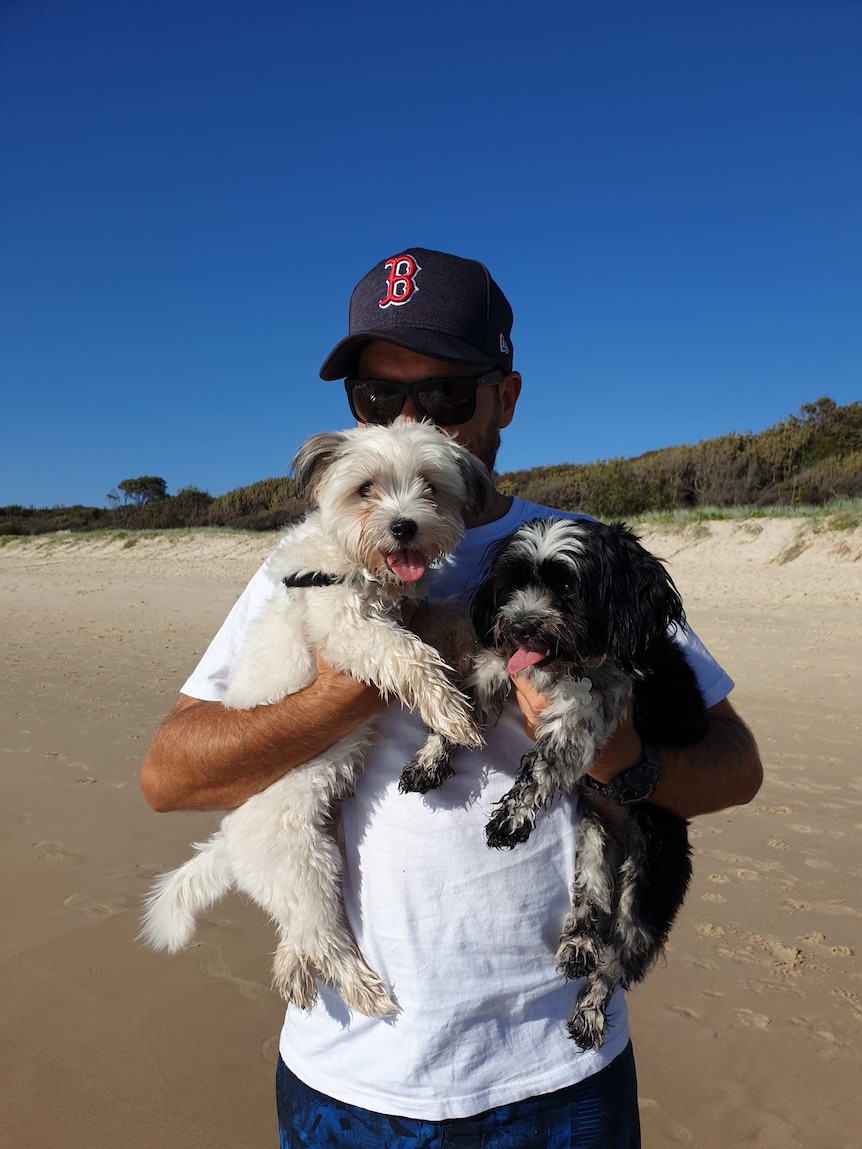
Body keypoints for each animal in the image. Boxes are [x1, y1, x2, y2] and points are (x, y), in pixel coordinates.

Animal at [140, 422, 491, 1015]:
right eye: (365, 488)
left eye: (430, 486)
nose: (405, 526)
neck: (358, 565)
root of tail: (228, 841)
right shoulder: (349, 635)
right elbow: (408, 653)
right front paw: (449, 710)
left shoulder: (415, 610)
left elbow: (449, 617)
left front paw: (466, 661)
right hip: (305, 862)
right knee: (321, 937)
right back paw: (362, 989)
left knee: (298, 933)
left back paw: (293, 973)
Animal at [402, 519, 712, 1052]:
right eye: (513, 583)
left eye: (568, 586)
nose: (523, 625)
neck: (569, 661)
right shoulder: (497, 667)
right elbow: (458, 710)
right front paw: (430, 759)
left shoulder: (590, 707)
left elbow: (544, 763)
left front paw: (511, 816)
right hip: (593, 840)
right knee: (592, 900)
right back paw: (578, 945)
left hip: (648, 883)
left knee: (617, 957)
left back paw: (590, 1012)